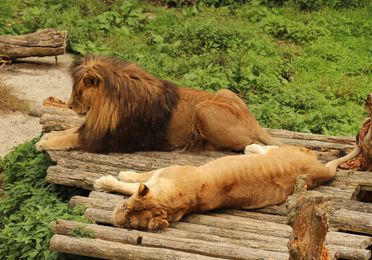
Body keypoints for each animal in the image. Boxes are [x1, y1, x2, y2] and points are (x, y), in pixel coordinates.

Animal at [36, 54, 282, 152]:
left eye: (78, 93)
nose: (69, 105)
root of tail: (253, 122)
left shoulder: (109, 139)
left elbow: (71, 137)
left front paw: (45, 143)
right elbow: (70, 130)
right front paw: (50, 135)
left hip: (203, 109)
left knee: (246, 144)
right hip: (224, 91)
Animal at [94, 145, 342, 231]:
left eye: (132, 224)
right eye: (126, 209)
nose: (115, 218)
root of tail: (320, 170)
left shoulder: (163, 172)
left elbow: (129, 183)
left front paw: (108, 181)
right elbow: (135, 183)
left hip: (286, 150)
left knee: (272, 147)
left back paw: (251, 147)